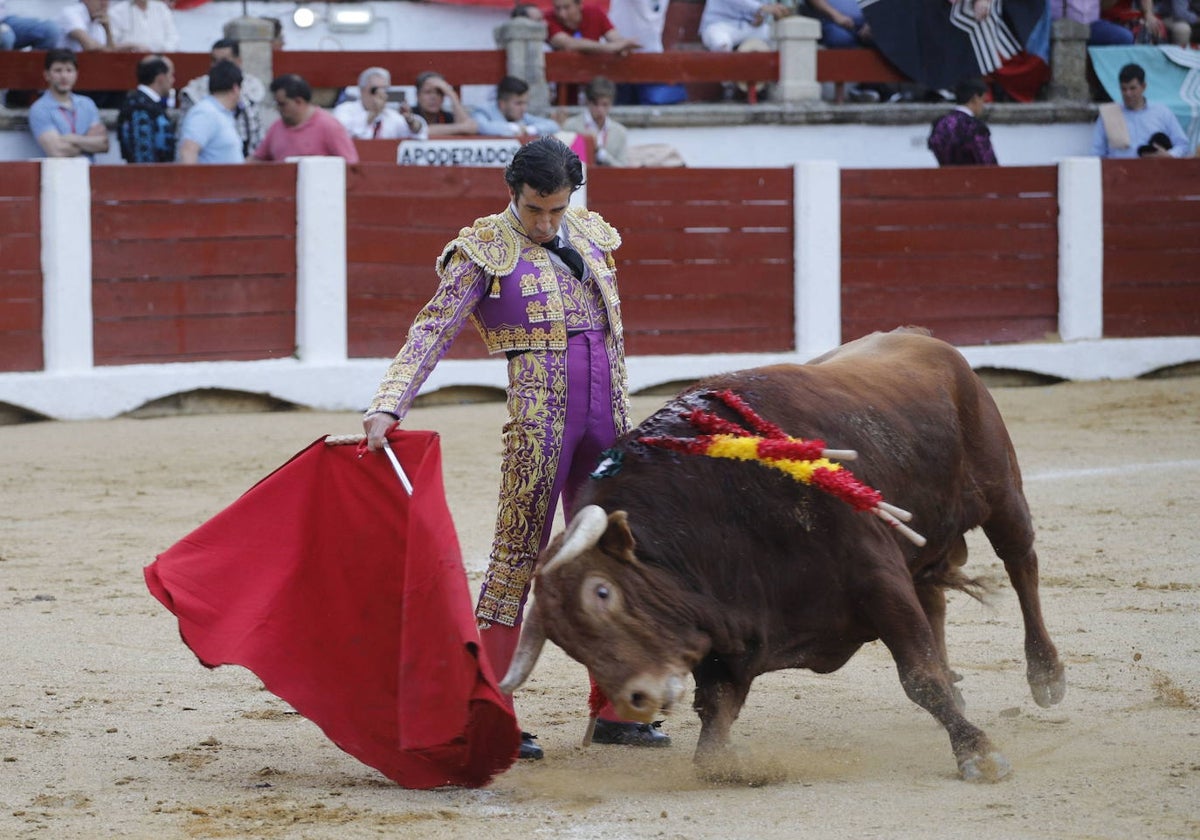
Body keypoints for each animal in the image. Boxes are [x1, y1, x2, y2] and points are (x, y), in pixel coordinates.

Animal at [501, 326, 1065, 782]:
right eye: (567, 642)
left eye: (603, 592)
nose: (638, 700)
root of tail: (923, 338)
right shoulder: (726, 628)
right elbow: (714, 721)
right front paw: (734, 764)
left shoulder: (878, 579)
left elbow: (919, 677)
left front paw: (978, 753)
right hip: (923, 544)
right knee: (937, 599)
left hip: (1002, 493)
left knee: (1022, 566)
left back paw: (1047, 677)